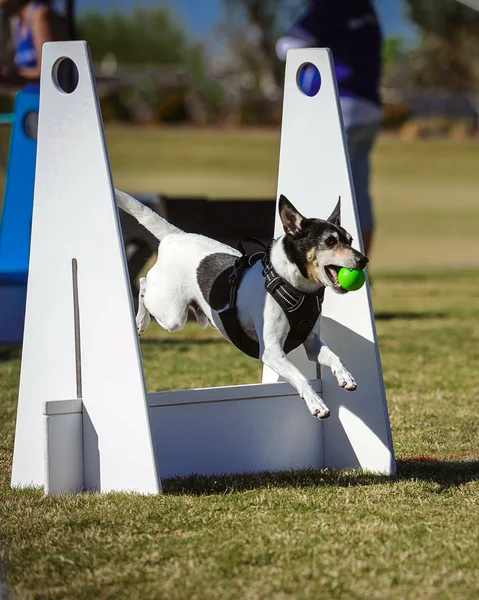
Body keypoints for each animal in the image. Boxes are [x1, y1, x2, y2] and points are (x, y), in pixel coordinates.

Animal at [115, 190, 368, 420]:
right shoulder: (272, 352)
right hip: (172, 315)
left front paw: (345, 376)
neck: (293, 285)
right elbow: (300, 377)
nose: (363, 260)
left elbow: (334, 357)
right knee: (144, 282)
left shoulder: (313, 343)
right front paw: (316, 404)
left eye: (350, 241)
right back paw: (140, 320)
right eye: (330, 242)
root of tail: (174, 237)